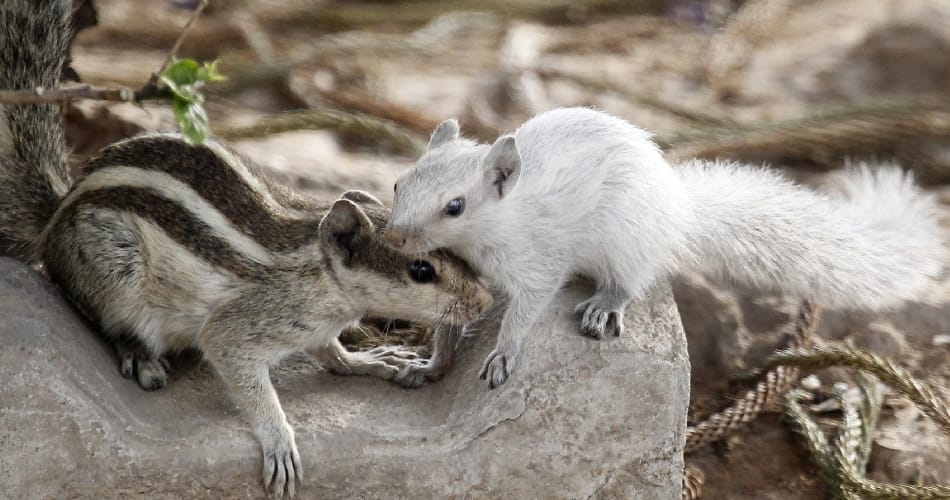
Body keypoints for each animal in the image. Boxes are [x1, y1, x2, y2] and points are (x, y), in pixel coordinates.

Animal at [0, 1, 493, 498]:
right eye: (421, 270)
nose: (485, 302)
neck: (322, 275)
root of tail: (59, 208)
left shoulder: (317, 329)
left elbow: (332, 355)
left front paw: (369, 360)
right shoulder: (237, 328)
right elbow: (244, 375)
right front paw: (278, 440)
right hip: (116, 266)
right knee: (104, 318)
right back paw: (140, 355)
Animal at [386, 106, 946, 389]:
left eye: (455, 206)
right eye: (397, 183)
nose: (394, 237)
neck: (495, 228)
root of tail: (678, 213)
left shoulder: (539, 262)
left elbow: (525, 310)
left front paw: (503, 354)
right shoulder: (459, 280)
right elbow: (449, 323)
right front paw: (428, 365)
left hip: (627, 237)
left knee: (632, 278)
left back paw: (606, 303)